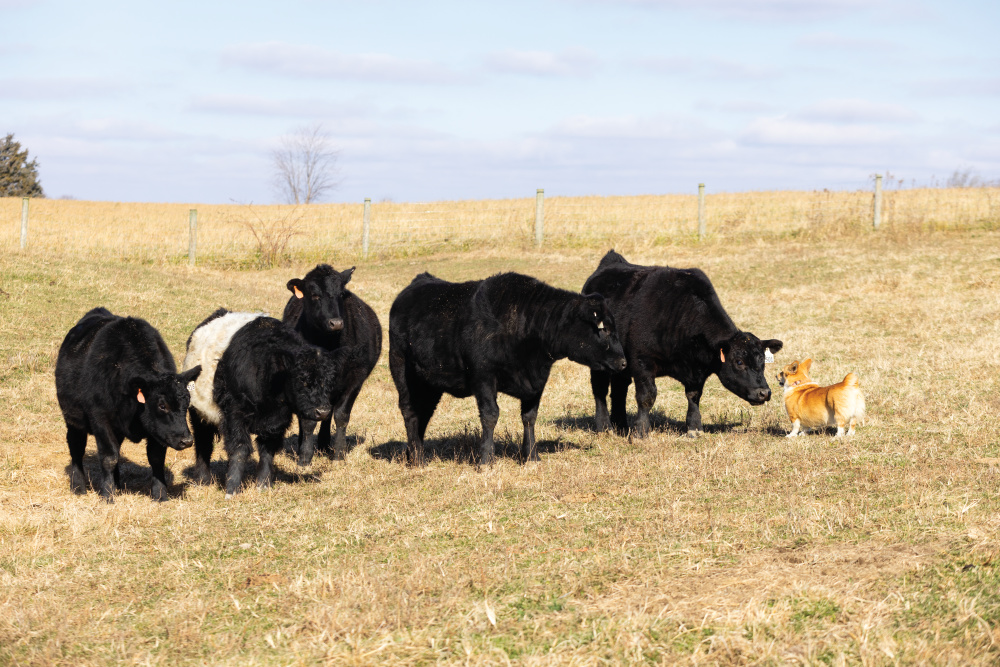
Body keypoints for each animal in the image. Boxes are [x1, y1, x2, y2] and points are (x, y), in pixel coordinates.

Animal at [55, 307, 202, 502]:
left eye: (187, 403)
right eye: (162, 405)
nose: (187, 441)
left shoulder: (157, 430)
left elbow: (156, 458)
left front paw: (160, 495)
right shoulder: (100, 419)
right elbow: (109, 457)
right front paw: (107, 496)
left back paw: (116, 484)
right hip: (73, 420)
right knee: (76, 448)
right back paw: (78, 487)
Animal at [183, 309, 341, 498]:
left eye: (330, 381)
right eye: (302, 379)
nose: (323, 411)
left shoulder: (277, 422)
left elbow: (267, 450)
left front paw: (263, 485)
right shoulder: (234, 415)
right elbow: (240, 449)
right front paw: (232, 489)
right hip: (198, 413)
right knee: (203, 442)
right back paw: (203, 479)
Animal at [282, 264, 382, 464]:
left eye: (341, 294)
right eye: (314, 295)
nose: (336, 323)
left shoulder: (355, 378)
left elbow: (341, 415)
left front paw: (339, 454)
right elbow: (308, 419)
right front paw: (304, 457)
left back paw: (324, 445)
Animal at [389, 272, 627, 466]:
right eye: (604, 329)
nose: (623, 362)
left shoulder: (537, 381)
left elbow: (529, 417)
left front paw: (531, 456)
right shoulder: (483, 376)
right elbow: (490, 415)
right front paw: (486, 460)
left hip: (429, 383)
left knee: (424, 413)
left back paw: (414, 454)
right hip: (402, 372)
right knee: (410, 411)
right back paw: (418, 460)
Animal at [583, 250, 783, 438]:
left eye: (763, 362)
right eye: (739, 362)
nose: (764, 392)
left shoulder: (697, 372)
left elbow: (693, 397)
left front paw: (695, 428)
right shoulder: (642, 362)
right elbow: (646, 397)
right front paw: (641, 432)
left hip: (621, 365)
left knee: (619, 390)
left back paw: (621, 426)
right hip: (599, 360)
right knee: (600, 390)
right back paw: (605, 427)